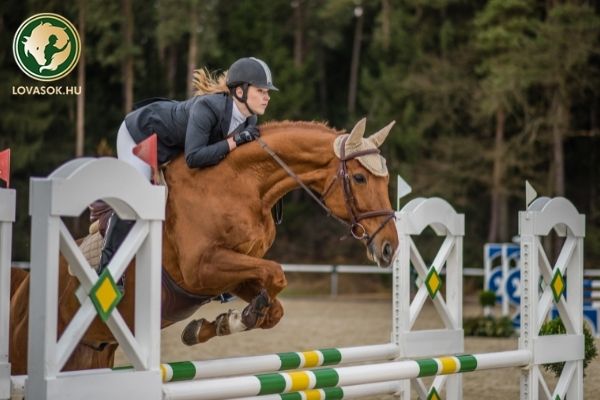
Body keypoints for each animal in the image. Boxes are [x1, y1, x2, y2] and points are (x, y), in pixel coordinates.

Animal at [8, 117, 398, 374]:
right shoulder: (201, 270)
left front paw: (223, 322)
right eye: (359, 177)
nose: (390, 248)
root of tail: (23, 286)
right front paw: (240, 317)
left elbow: (274, 303)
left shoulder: (230, 274)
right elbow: (277, 275)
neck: (242, 184)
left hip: (91, 354)